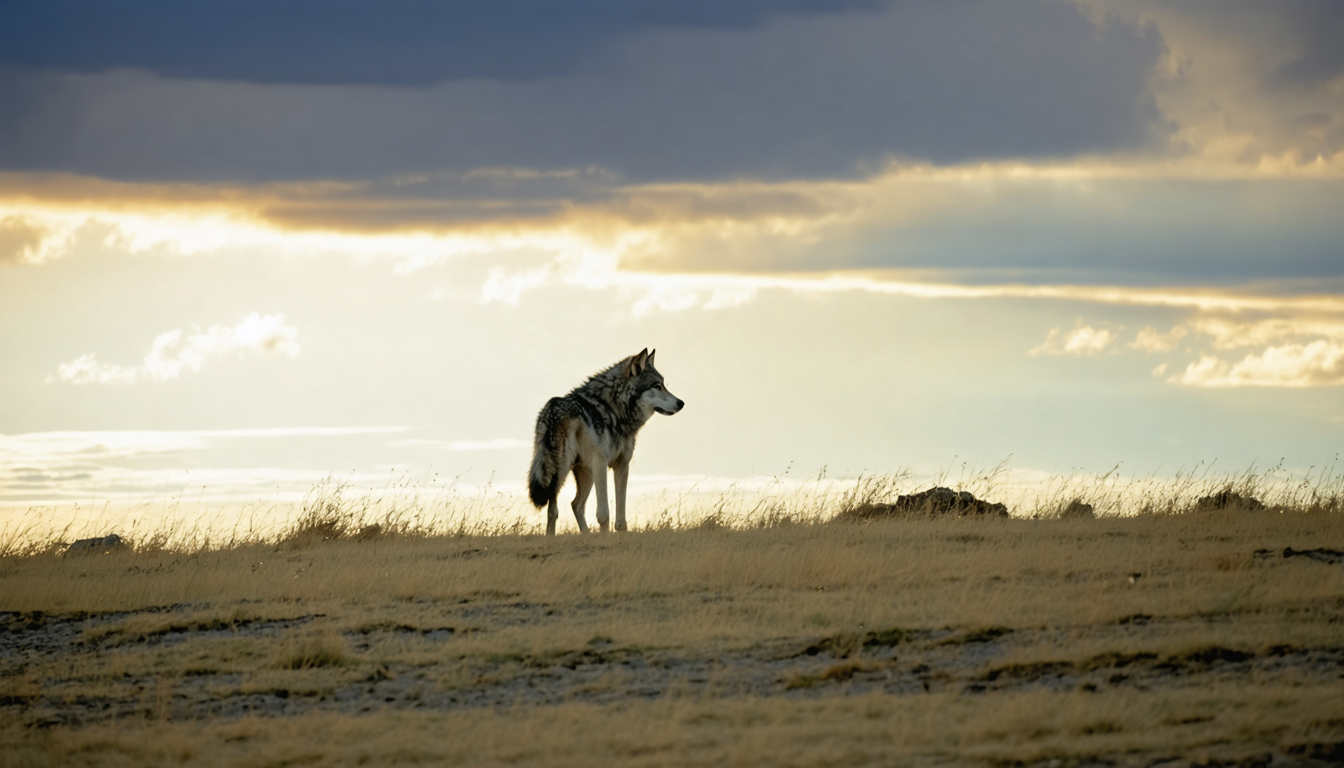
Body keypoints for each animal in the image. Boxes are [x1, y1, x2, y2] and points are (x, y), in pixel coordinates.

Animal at [528, 348, 684, 535]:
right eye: (656, 386)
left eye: (663, 385)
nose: (681, 403)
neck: (613, 410)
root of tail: (551, 409)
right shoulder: (600, 463)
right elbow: (603, 514)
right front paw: (604, 537)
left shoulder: (622, 465)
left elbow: (620, 517)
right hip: (560, 471)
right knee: (553, 510)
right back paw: (551, 536)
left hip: (584, 473)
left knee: (576, 505)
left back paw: (587, 535)